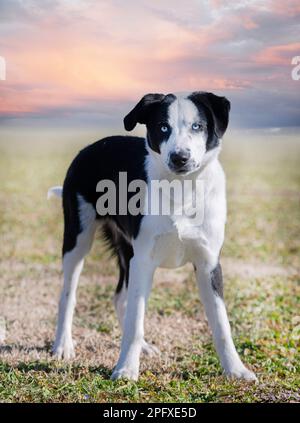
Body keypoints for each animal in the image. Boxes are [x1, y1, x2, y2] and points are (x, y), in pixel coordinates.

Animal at [49, 93, 258, 384]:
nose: (180, 158)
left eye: (198, 126)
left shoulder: (208, 264)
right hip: (78, 239)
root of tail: (90, 148)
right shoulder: (144, 261)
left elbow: (221, 324)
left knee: (120, 297)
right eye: (162, 127)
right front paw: (126, 369)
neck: (182, 190)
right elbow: (135, 322)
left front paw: (236, 370)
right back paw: (62, 345)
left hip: (127, 252)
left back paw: (145, 347)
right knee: (68, 295)